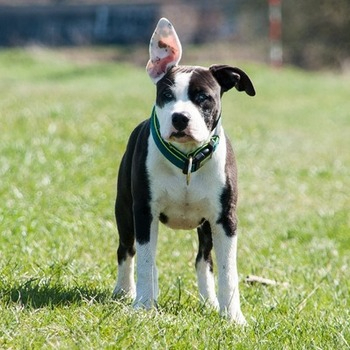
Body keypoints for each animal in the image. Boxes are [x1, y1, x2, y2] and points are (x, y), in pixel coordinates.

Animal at [113, 17, 256, 324]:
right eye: (166, 95)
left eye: (204, 97)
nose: (180, 118)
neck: (187, 161)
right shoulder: (144, 212)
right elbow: (145, 260)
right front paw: (144, 306)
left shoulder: (225, 220)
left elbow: (228, 271)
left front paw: (233, 317)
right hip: (125, 211)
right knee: (128, 249)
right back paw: (126, 291)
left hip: (206, 227)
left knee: (203, 260)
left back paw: (209, 301)